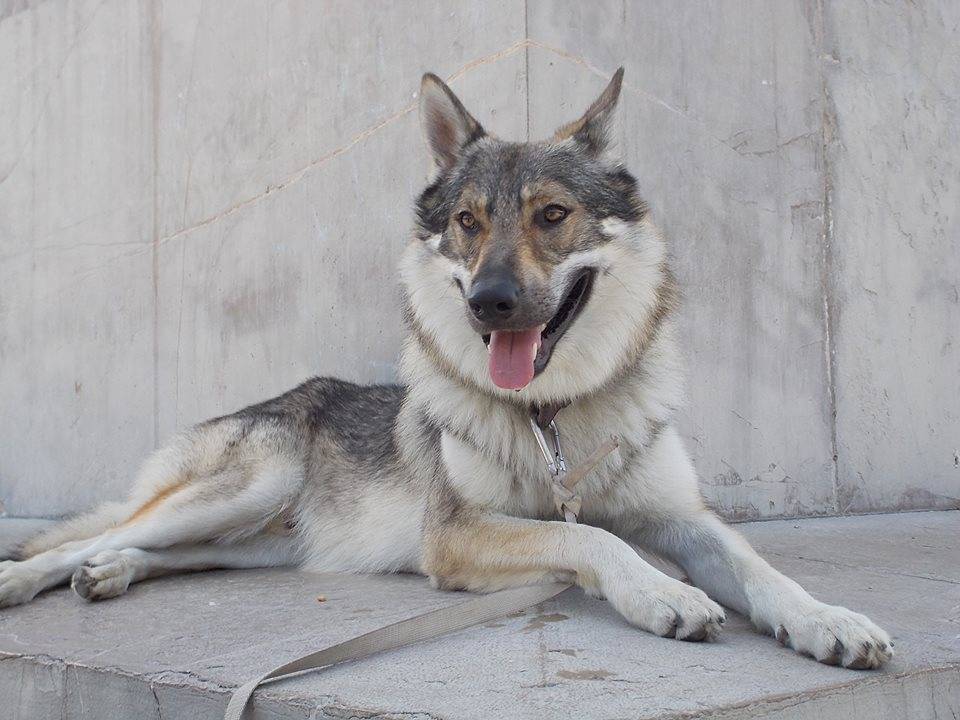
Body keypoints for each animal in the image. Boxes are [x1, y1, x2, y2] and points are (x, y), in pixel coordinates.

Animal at [1, 68, 892, 669]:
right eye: (468, 222)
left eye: (552, 215)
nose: (491, 303)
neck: (552, 416)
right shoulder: (458, 535)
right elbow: (595, 540)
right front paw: (665, 593)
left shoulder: (684, 517)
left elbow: (758, 568)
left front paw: (829, 620)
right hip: (246, 488)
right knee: (89, 536)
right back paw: (32, 580)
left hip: (263, 542)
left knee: (147, 551)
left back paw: (111, 574)